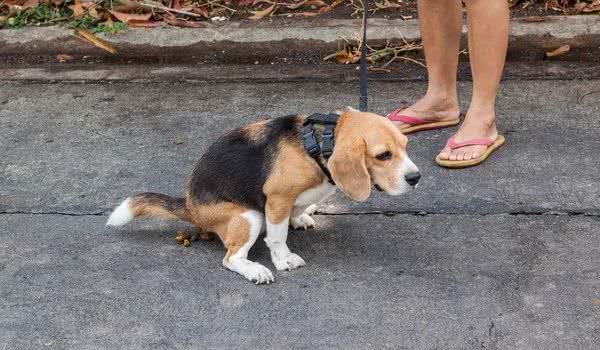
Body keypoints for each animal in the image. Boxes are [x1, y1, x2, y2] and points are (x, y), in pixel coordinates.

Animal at [105, 109, 420, 284]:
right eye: (383, 155)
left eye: (406, 146)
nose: (416, 178)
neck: (318, 144)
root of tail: (189, 204)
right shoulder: (277, 198)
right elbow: (278, 237)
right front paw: (283, 260)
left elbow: (297, 210)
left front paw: (300, 217)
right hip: (248, 217)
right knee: (231, 258)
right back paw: (255, 270)